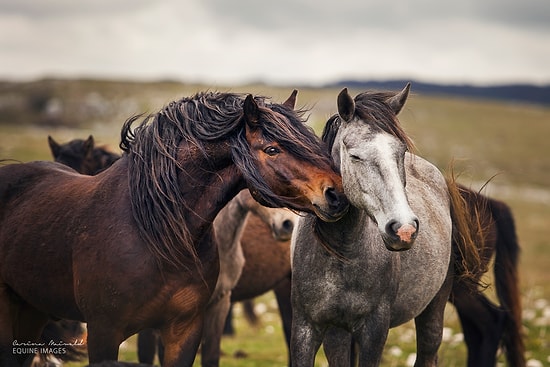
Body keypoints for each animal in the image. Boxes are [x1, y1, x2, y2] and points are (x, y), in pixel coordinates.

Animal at [292, 85, 480, 366]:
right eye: (355, 156)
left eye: (400, 153)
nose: (404, 229)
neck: (340, 254)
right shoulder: (306, 328)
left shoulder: (374, 330)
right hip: (338, 333)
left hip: (434, 307)